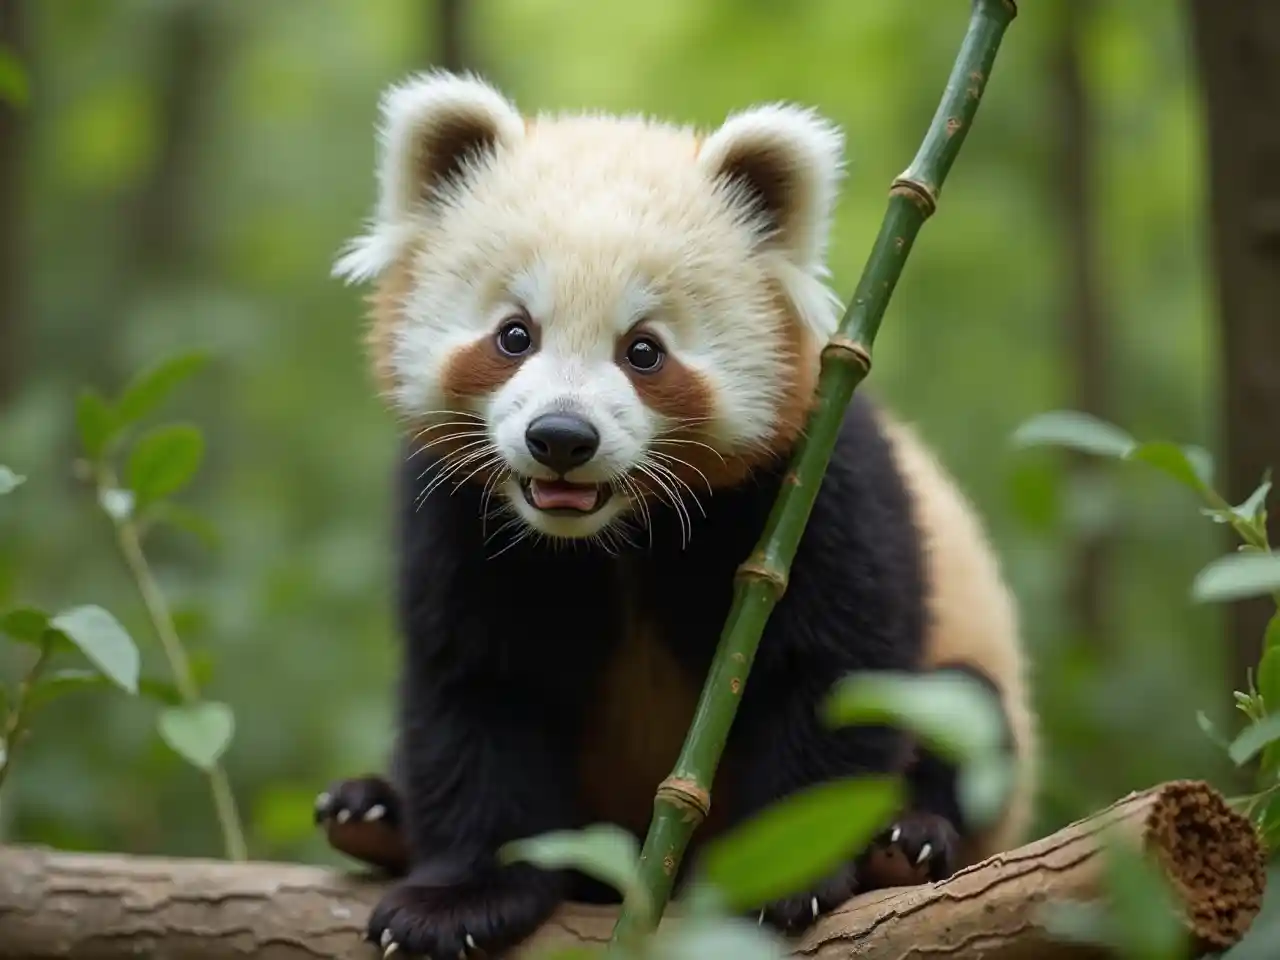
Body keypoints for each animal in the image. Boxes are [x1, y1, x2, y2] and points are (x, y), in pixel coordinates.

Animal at [313, 71, 1037, 958]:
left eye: (643, 351)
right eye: (515, 335)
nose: (561, 437)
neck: (607, 533)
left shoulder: (813, 486)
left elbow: (833, 672)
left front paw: (786, 871)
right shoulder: (460, 515)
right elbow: (478, 691)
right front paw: (457, 899)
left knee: (964, 712)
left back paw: (905, 843)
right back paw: (369, 813)